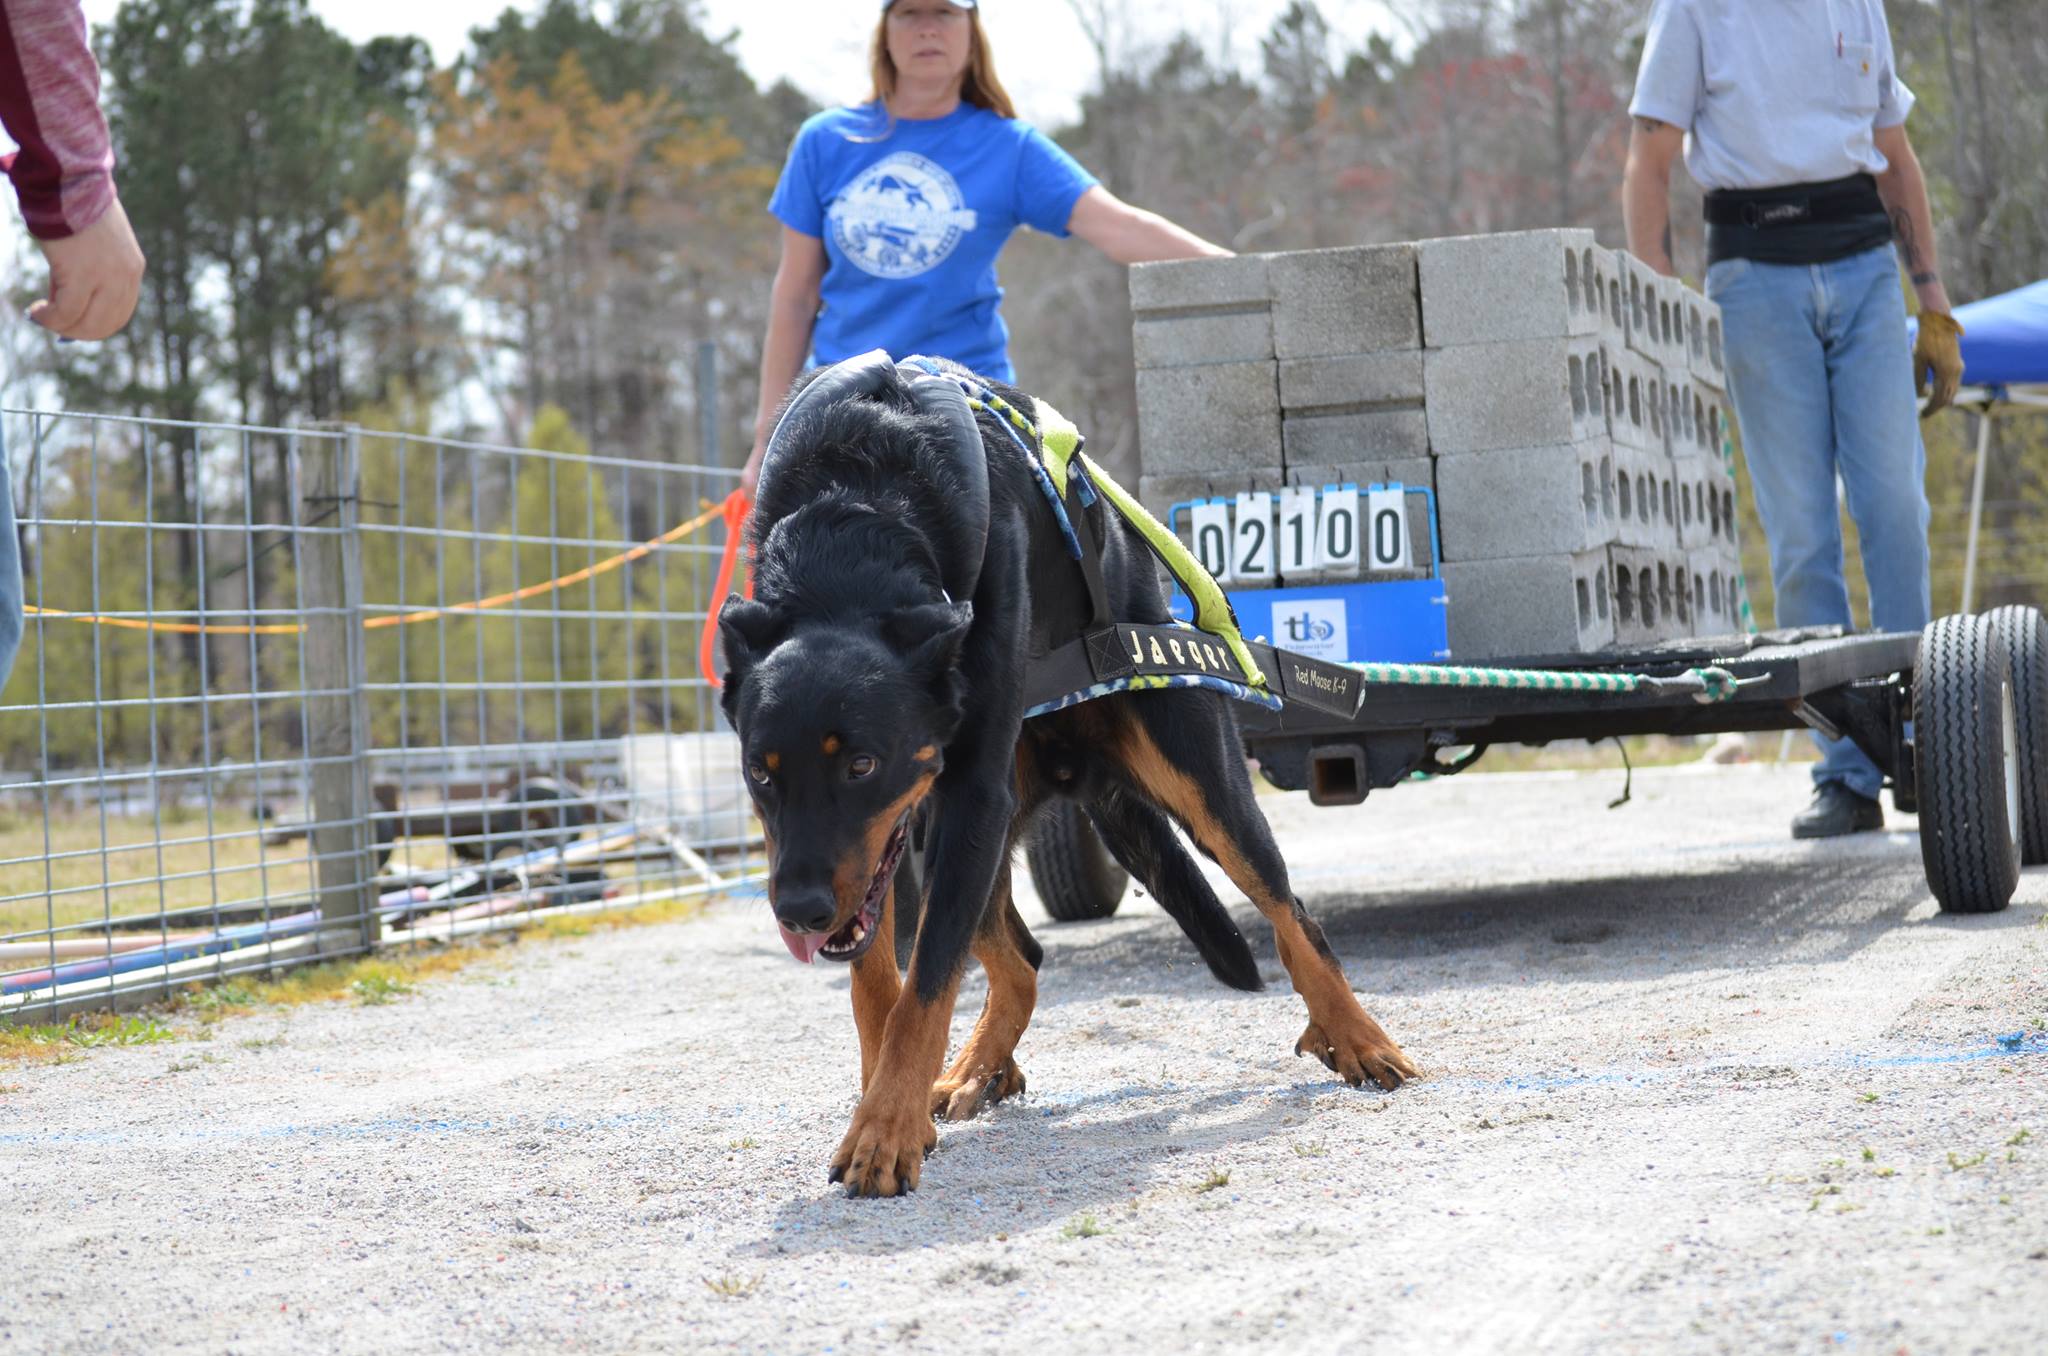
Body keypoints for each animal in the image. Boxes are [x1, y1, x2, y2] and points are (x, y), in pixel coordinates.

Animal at [716, 352, 1409, 1204]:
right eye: (760, 772)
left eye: (862, 764)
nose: (799, 910)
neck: (853, 523)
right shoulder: (905, 843)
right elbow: (881, 989)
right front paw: (888, 1107)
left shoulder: (967, 798)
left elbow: (923, 991)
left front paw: (884, 1130)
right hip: (947, 837)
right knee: (1021, 964)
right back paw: (975, 1070)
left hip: (1189, 779)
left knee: (1290, 912)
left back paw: (1358, 1035)